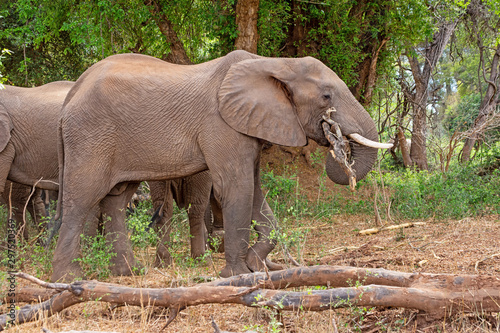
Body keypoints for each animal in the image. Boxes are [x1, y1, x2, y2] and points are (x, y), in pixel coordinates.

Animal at [53, 50, 390, 282]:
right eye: (326, 96)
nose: (336, 138)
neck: (275, 64)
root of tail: (72, 92)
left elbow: (254, 190)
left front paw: (255, 264)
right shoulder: (222, 125)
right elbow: (237, 187)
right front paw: (237, 275)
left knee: (117, 198)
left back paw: (129, 273)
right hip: (90, 136)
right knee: (82, 198)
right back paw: (68, 280)